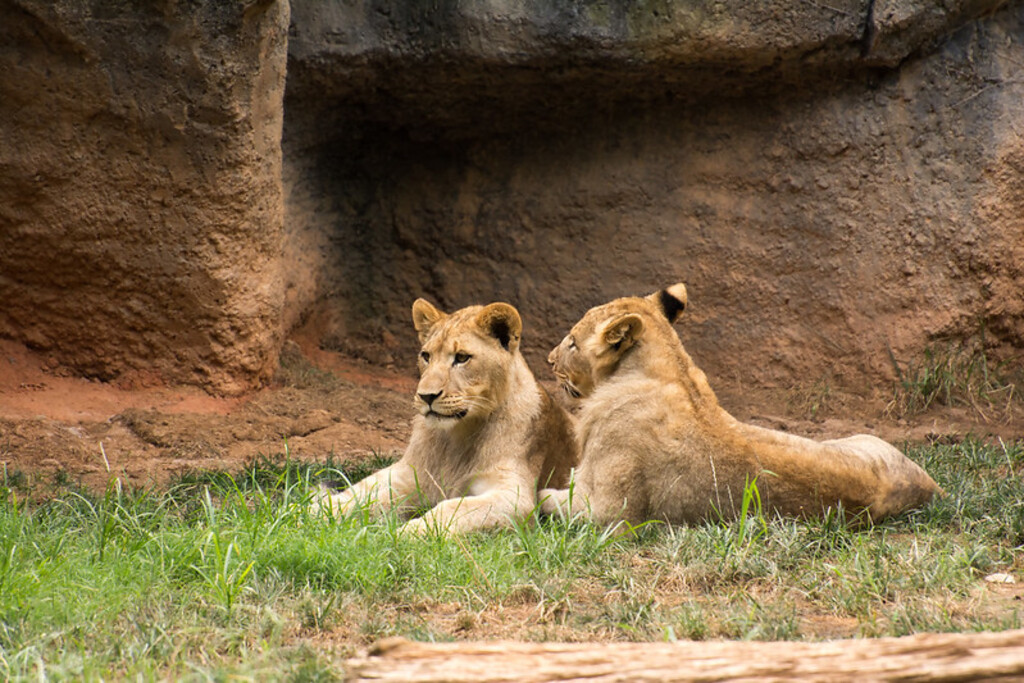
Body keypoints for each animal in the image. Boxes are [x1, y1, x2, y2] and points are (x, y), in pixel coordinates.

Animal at [315, 298, 578, 534]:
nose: (426, 396)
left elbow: (453, 508)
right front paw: (310, 512)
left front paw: (406, 533)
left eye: (461, 358)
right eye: (426, 356)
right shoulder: (408, 472)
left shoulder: (514, 497)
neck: (457, 437)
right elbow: (359, 494)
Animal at [539, 283, 941, 527]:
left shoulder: (610, 513)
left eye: (572, 342)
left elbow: (547, 499)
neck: (670, 370)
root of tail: (934, 489)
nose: (549, 360)